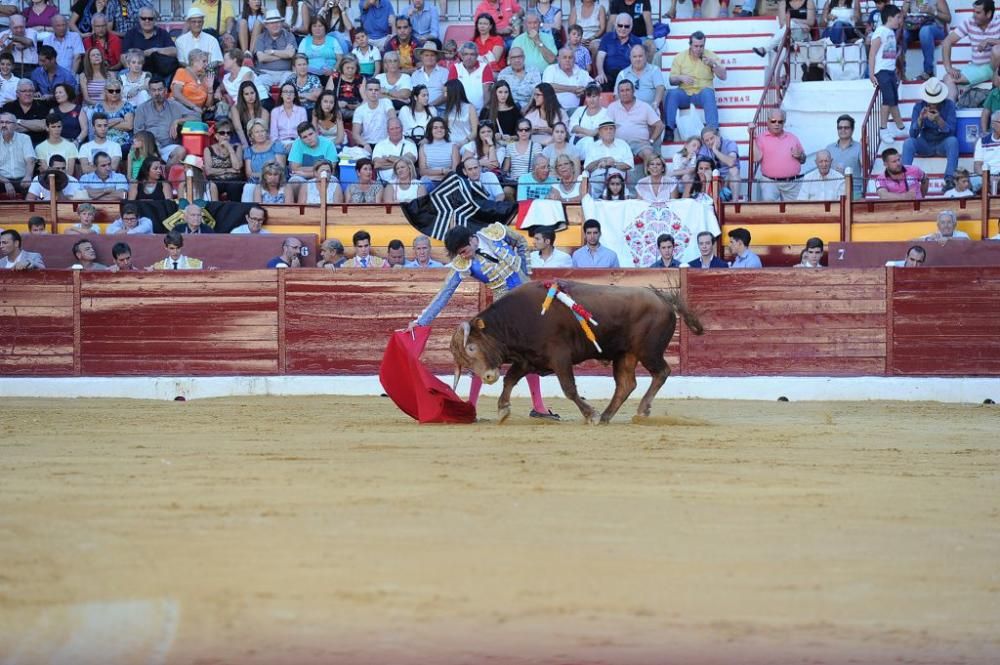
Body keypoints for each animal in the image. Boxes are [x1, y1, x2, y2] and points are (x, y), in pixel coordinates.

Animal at [454, 278, 704, 422]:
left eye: (472, 347)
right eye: (463, 359)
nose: (487, 376)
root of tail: (663, 298)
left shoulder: (560, 357)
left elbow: (569, 388)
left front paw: (590, 414)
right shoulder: (528, 360)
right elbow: (510, 380)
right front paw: (503, 409)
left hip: (649, 352)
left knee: (661, 372)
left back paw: (641, 410)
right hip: (625, 355)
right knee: (626, 384)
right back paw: (606, 416)